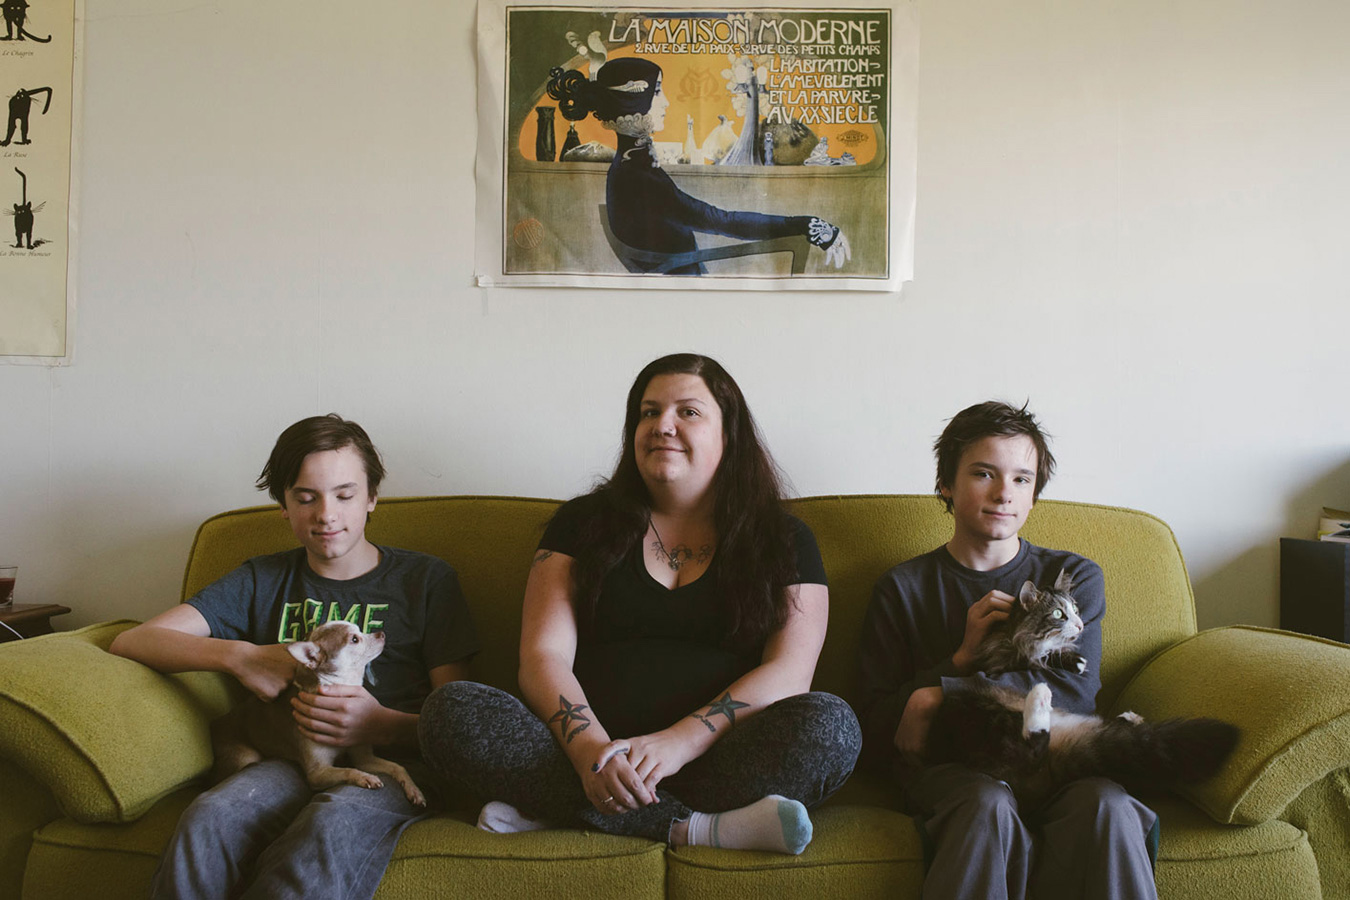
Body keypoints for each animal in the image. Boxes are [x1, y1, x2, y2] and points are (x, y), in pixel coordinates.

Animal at [210, 623, 423, 804]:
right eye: (354, 639)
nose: (381, 633)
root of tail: (216, 724)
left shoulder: (364, 758)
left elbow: (397, 766)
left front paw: (414, 789)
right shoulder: (318, 773)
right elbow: (348, 770)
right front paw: (365, 777)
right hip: (246, 757)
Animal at [928, 574, 1236, 814]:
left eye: (1075, 609)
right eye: (1057, 614)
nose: (1079, 624)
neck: (1011, 632)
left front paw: (1072, 659)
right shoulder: (1002, 661)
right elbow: (1037, 657)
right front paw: (1068, 659)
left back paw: (1128, 717)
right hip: (978, 711)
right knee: (1031, 746)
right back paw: (1040, 697)